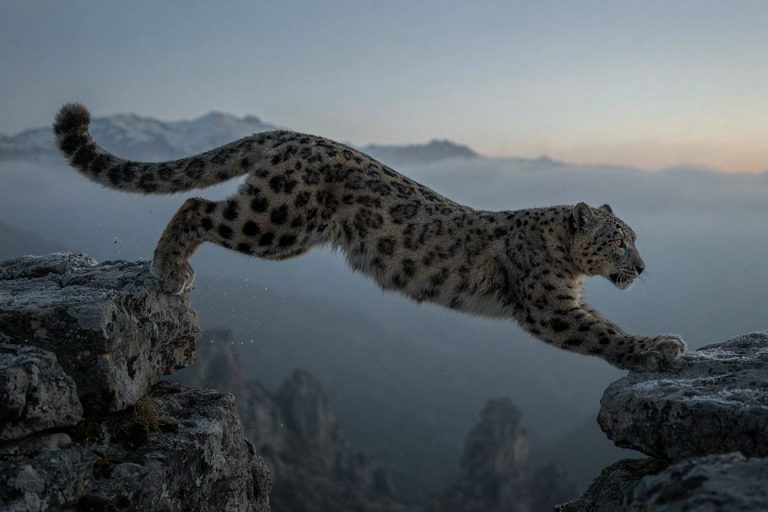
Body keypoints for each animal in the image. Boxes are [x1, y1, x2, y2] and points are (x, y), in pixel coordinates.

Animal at [53, 103, 686, 371]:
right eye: (620, 239)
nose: (643, 267)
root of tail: (292, 134)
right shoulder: (550, 305)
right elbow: (601, 332)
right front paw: (656, 347)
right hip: (275, 221)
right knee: (195, 205)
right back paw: (169, 272)